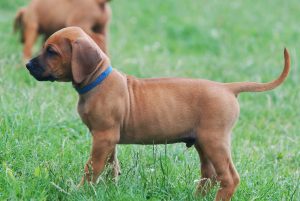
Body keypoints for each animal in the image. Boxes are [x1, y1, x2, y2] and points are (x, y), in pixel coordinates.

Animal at [26, 27, 290, 201]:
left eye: (51, 51)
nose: (28, 65)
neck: (97, 80)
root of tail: (227, 88)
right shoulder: (108, 139)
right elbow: (111, 166)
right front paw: (109, 188)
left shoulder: (103, 137)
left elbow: (91, 168)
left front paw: (79, 191)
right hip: (203, 143)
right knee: (210, 175)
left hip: (215, 141)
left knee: (229, 178)